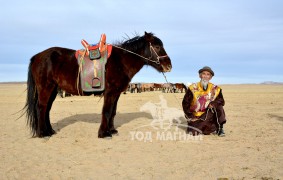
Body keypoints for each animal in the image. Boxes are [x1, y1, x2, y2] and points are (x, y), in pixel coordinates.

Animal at [25, 31, 173, 139]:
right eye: (157, 46)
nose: (169, 66)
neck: (121, 61)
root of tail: (37, 56)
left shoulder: (116, 93)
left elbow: (112, 112)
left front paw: (112, 130)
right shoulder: (110, 92)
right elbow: (106, 111)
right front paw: (103, 133)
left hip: (54, 90)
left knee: (47, 109)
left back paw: (50, 130)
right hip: (46, 88)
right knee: (41, 107)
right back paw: (42, 133)